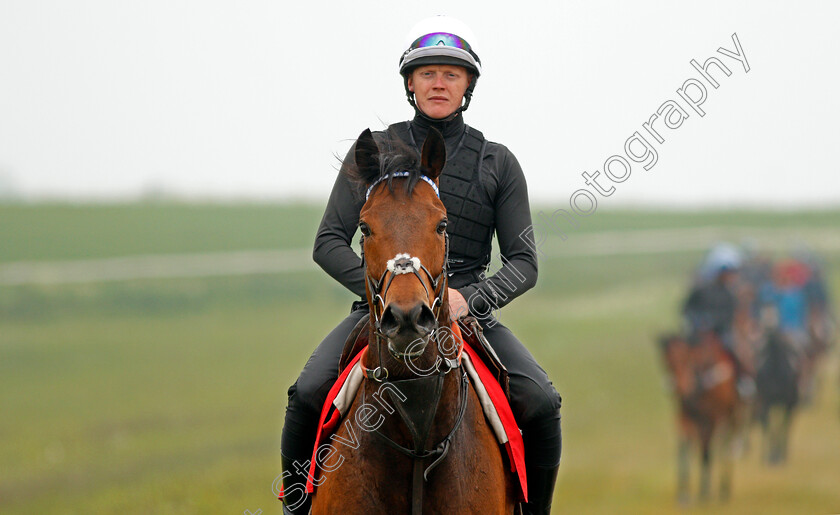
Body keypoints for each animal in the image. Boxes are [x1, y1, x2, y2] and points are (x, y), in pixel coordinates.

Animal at [660, 330, 740, 504]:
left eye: (687, 359)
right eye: (667, 362)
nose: (681, 388)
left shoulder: (712, 418)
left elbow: (706, 450)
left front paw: (704, 493)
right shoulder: (684, 418)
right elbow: (683, 447)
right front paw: (683, 494)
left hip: (731, 417)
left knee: (725, 446)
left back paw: (724, 489)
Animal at [756, 330, 800, 468]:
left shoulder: (784, 402)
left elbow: (780, 426)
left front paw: (777, 456)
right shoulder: (767, 402)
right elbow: (770, 425)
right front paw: (771, 456)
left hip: (785, 404)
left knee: (782, 425)